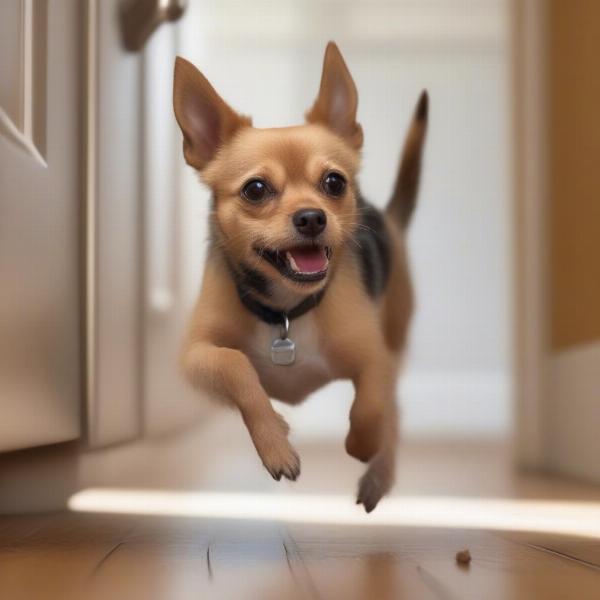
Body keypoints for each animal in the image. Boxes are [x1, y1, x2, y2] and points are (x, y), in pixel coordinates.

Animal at [172, 42, 426, 510]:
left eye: (334, 182)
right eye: (255, 189)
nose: (312, 217)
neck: (286, 311)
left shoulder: (375, 359)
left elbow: (370, 406)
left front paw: (361, 445)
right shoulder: (194, 356)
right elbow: (236, 365)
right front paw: (276, 441)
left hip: (396, 337)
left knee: (394, 415)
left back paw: (378, 476)